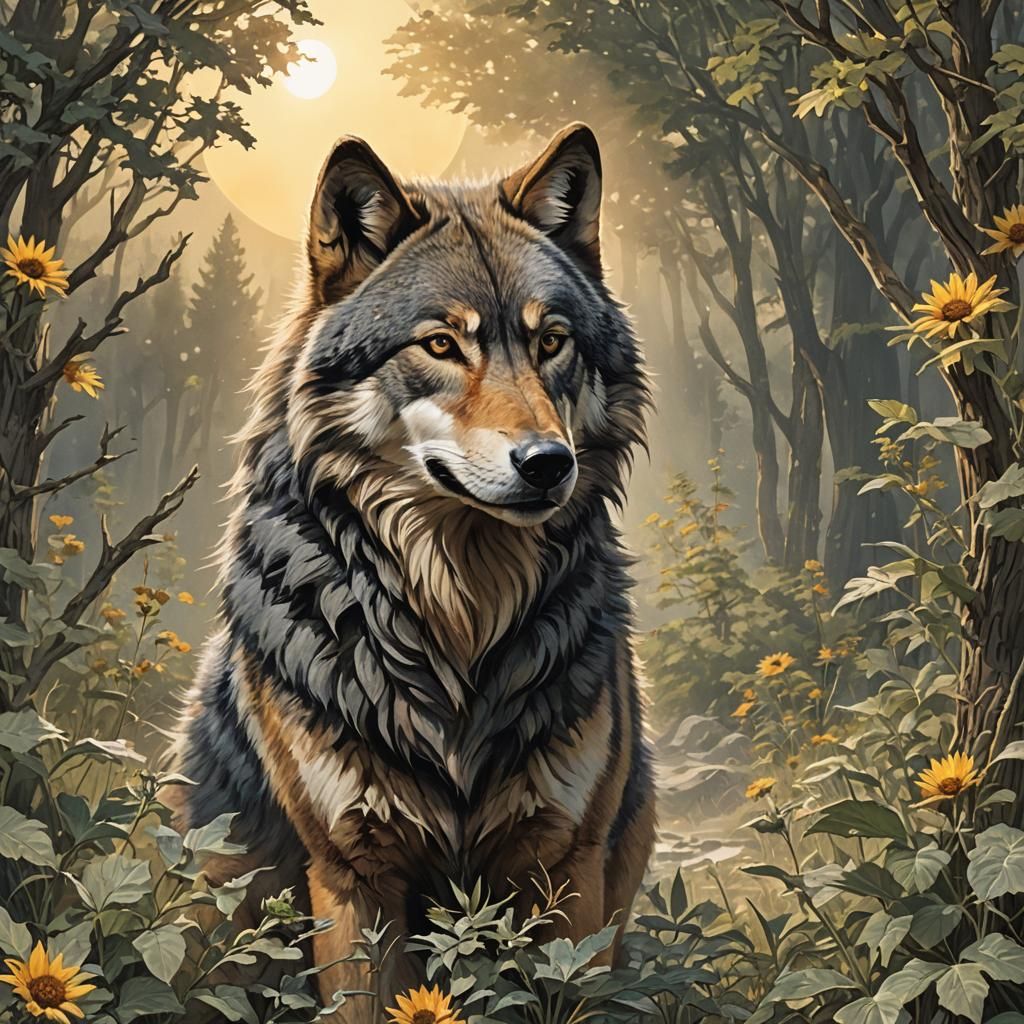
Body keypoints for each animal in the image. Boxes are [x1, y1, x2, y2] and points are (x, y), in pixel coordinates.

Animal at [172, 123, 654, 1018]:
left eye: (551, 342)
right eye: (440, 344)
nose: (548, 464)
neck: (462, 617)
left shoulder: (565, 867)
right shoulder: (353, 874)